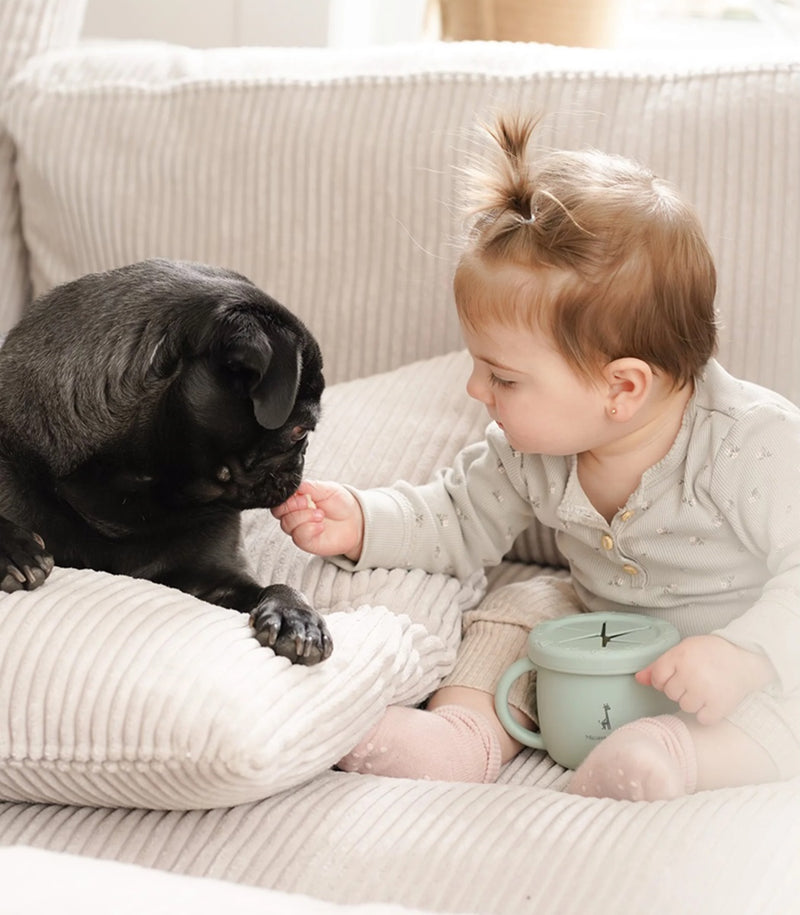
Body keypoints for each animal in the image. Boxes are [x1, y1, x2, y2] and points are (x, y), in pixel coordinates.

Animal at [0, 258, 332, 664]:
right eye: (300, 432)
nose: (299, 465)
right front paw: (13, 548)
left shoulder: (215, 580)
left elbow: (273, 586)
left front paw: (297, 616)